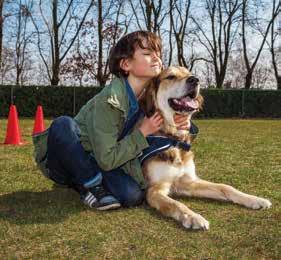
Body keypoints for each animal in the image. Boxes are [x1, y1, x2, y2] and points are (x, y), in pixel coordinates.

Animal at [140, 66, 272, 231]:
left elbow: (226, 187)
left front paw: (254, 199)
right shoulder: (154, 190)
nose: (194, 79)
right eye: (170, 76)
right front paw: (193, 217)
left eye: (189, 73)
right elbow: (175, 204)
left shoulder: (188, 182)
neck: (175, 139)